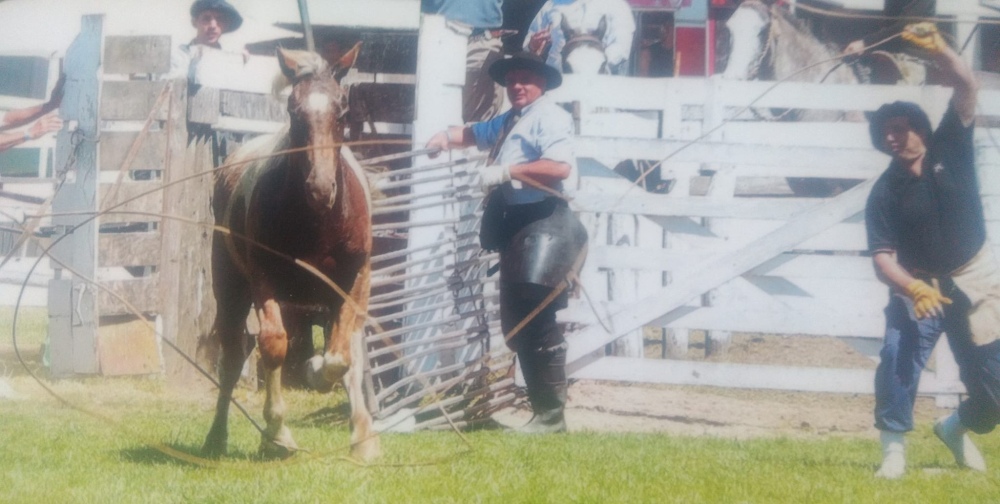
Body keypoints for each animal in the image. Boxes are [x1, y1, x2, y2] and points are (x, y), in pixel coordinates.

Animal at [203, 46, 378, 460]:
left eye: (342, 109)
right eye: (293, 111)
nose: (321, 188)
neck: (318, 223)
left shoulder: (352, 281)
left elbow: (341, 357)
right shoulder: (263, 281)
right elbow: (273, 345)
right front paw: (277, 433)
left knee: (351, 347)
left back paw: (362, 434)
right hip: (231, 291)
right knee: (233, 356)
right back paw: (216, 438)